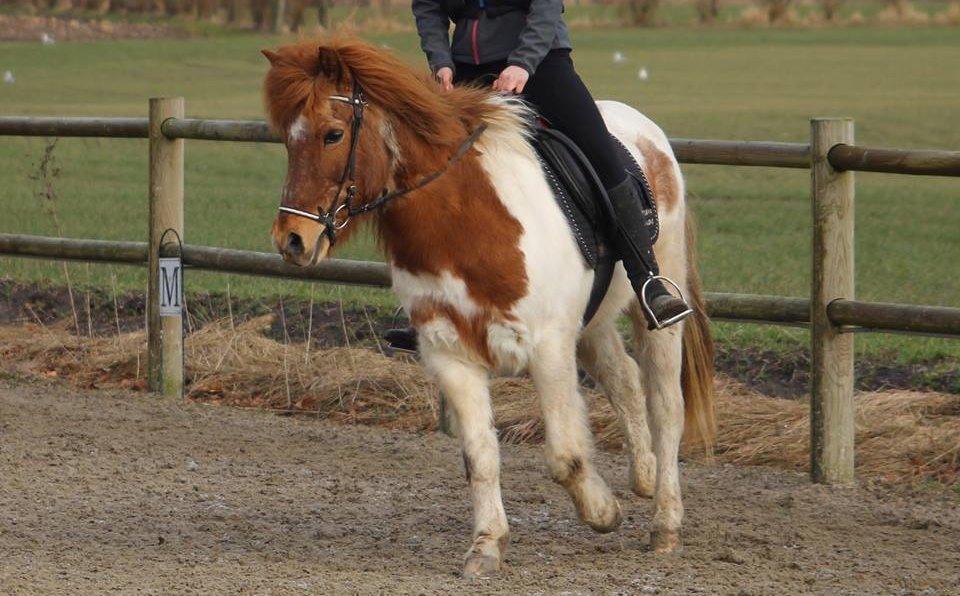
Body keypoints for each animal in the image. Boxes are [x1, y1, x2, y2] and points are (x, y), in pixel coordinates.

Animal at [260, 39, 712, 580]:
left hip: (656, 313)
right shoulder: (450, 355)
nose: (292, 239)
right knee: (623, 377)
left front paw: (602, 512)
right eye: (287, 140)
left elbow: (564, 455)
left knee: (666, 404)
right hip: (594, 321)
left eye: (333, 134)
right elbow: (479, 457)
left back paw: (665, 521)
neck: (463, 220)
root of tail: (643, 129)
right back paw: (642, 476)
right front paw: (487, 545)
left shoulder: (548, 348)